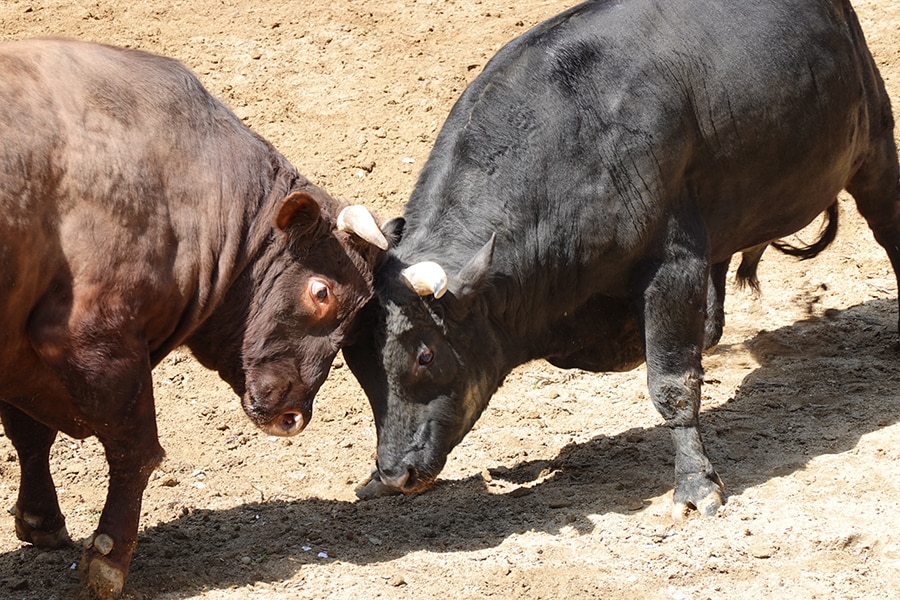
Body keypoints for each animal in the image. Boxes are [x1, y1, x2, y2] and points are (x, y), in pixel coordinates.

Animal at [344, 0, 900, 516]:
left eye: (425, 354)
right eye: (354, 361)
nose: (395, 473)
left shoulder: (672, 265)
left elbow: (673, 384)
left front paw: (696, 485)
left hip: (874, 143)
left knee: (889, 228)